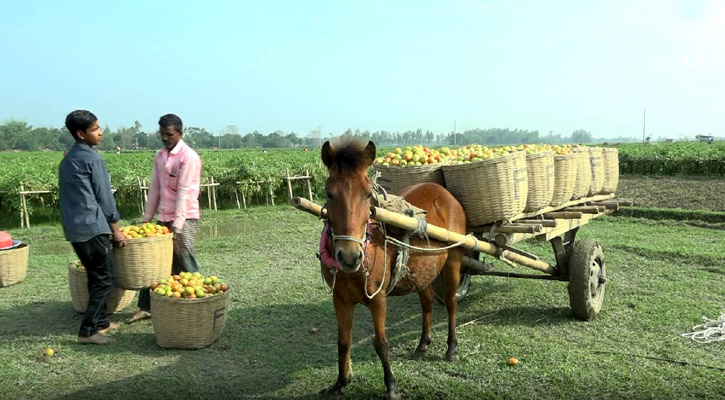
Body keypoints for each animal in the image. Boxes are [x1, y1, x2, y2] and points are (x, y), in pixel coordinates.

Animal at [320, 140, 466, 400]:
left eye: (368, 194)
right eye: (329, 192)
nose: (349, 256)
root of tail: (447, 195)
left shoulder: (377, 299)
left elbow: (381, 343)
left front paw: (391, 386)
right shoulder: (340, 299)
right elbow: (343, 341)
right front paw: (340, 382)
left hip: (453, 263)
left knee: (450, 303)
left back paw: (451, 348)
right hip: (423, 271)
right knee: (427, 303)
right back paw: (423, 344)